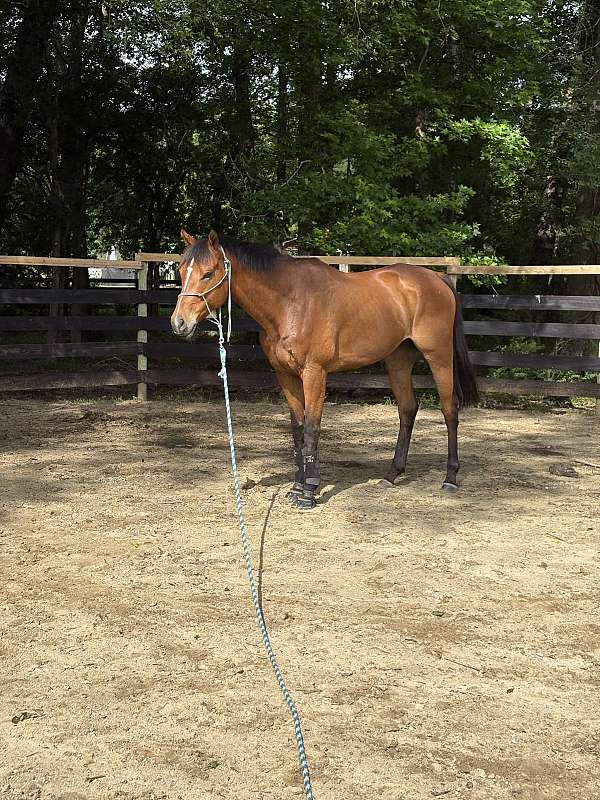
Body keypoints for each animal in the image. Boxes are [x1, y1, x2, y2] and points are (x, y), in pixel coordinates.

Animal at [171, 229, 479, 510]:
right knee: (407, 409)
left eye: (208, 273)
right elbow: (297, 429)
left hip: (439, 357)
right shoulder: (285, 375)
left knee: (449, 410)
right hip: (398, 361)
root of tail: (436, 278)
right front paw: (296, 487)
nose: (179, 323)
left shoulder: (314, 373)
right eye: (181, 271)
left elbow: (312, 428)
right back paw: (392, 474)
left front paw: (309, 492)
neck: (290, 303)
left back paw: (450, 478)